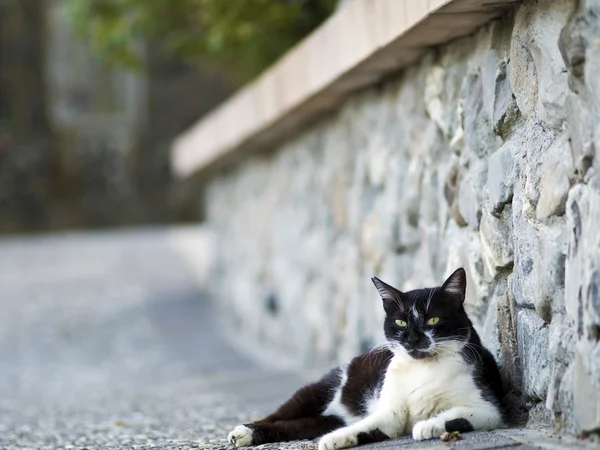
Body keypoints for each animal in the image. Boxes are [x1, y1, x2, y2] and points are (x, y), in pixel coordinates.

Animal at [227, 268, 504, 448]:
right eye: (401, 322)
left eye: (433, 320)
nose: (413, 339)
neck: (422, 369)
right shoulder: (390, 411)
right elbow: (366, 425)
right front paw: (333, 440)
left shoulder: (490, 409)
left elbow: (458, 415)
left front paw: (427, 425)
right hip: (319, 389)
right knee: (279, 414)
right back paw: (242, 433)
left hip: (324, 418)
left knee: (296, 425)